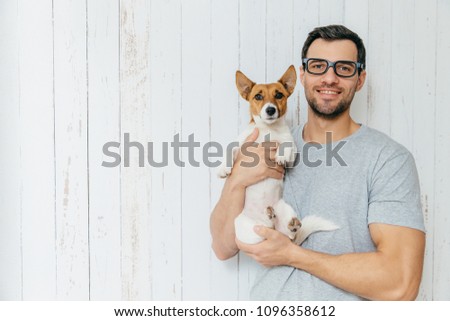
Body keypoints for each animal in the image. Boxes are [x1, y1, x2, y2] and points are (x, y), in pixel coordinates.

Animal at [218, 65, 338, 245]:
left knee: (285, 233)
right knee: (265, 230)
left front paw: (281, 155)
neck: (268, 130)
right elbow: (229, 149)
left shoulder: (290, 149)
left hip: (285, 208)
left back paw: (287, 224)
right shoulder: (241, 143)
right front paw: (223, 168)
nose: (270, 109)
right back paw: (269, 217)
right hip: (245, 228)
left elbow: (286, 144)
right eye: (258, 96)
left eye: (279, 95)